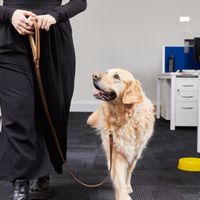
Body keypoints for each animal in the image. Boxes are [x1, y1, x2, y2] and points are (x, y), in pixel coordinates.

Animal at [87, 68, 155, 199]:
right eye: (107, 72)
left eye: (116, 76)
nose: (94, 76)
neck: (124, 119)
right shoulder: (116, 152)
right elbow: (118, 176)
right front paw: (122, 194)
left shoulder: (134, 153)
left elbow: (128, 173)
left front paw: (126, 188)